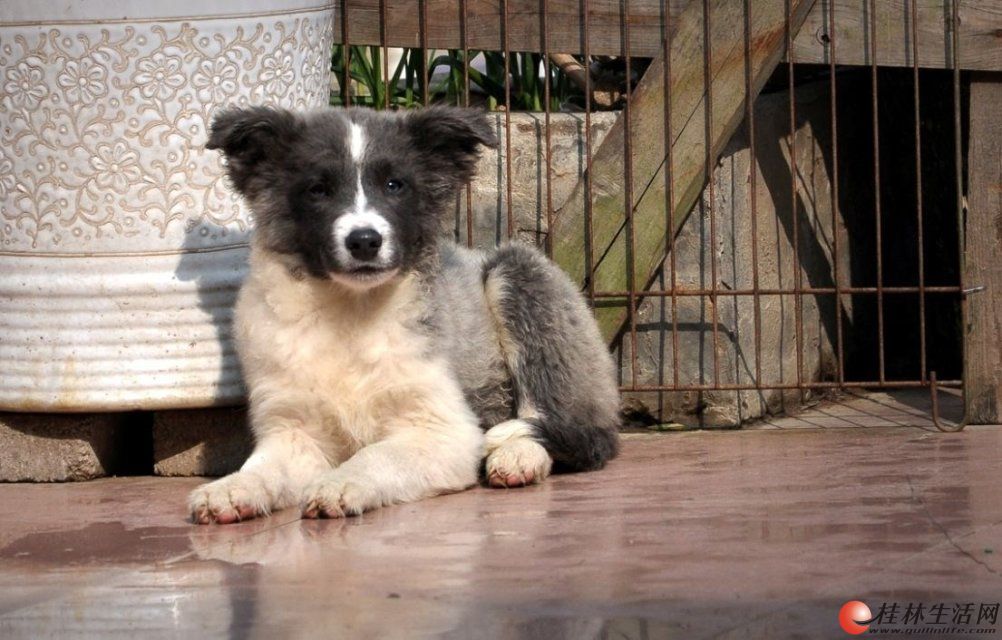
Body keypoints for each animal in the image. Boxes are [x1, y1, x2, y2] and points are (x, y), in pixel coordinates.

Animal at [188, 105, 621, 524]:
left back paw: (518, 456)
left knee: (581, 431)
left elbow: (376, 454)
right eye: (318, 190)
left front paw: (340, 484)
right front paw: (232, 488)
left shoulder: (442, 429)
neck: (351, 310)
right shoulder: (293, 430)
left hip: (522, 276)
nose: (364, 241)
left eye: (394, 185)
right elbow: (263, 467)